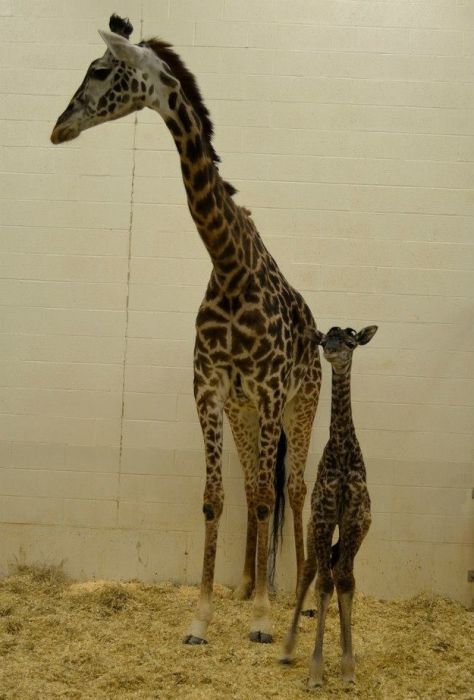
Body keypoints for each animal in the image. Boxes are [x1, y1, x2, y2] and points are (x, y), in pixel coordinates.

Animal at [50, 15, 320, 644]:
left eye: (99, 70)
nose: (58, 128)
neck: (229, 263)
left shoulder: (271, 391)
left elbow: (269, 498)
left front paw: (264, 620)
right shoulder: (211, 389)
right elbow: (216, 498)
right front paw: (203, 615)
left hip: (301, 404)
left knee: (293, 488)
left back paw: (297, 599)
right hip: (247, 412)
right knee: (254, 485)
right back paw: (246, 587)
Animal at [282, 326, 378, 688]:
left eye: (351, 340)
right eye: (325, 340)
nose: (333, 353)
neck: (342, 453)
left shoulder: (355, 521)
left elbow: (346, 581)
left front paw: (348, 667)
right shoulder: (323, 518)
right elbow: (323, 583)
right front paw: (316, 669)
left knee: (336, 571)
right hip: (313, 529)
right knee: (310, 571)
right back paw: (288, 647)